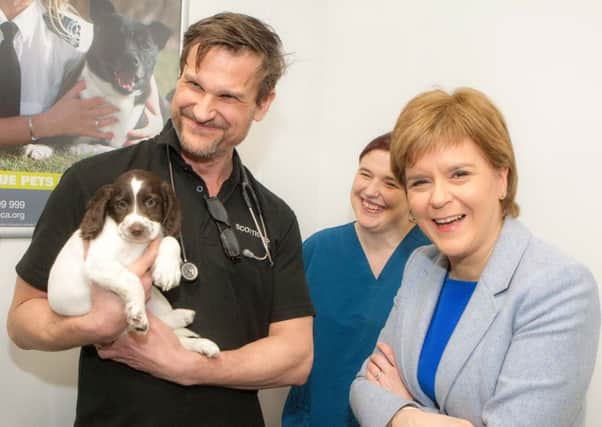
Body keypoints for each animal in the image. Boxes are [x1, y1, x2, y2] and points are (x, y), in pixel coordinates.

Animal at [47, 170, 219, 358]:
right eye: (121, 204)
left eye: (151, 202)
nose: (136, 230)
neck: (134, 245)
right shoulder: (98, 263)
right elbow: (132, 279)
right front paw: (138, 314)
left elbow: (170, 240)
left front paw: (168, 271)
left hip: (158, 300)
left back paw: (193, 333)